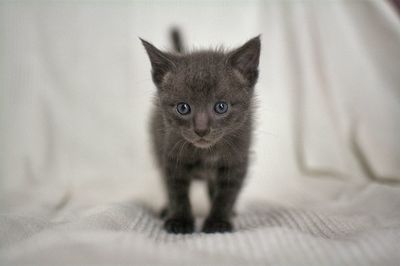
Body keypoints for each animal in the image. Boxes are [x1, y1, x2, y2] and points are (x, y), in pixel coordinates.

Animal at [142, 30, 260, 233]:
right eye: (183, 108)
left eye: (221, 107)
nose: (201, 130)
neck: (206, 153)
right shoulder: (173, 156)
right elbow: (177, 191)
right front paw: (179, 220)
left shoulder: (236, 159)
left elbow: (226, 194)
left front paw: (218, 221)